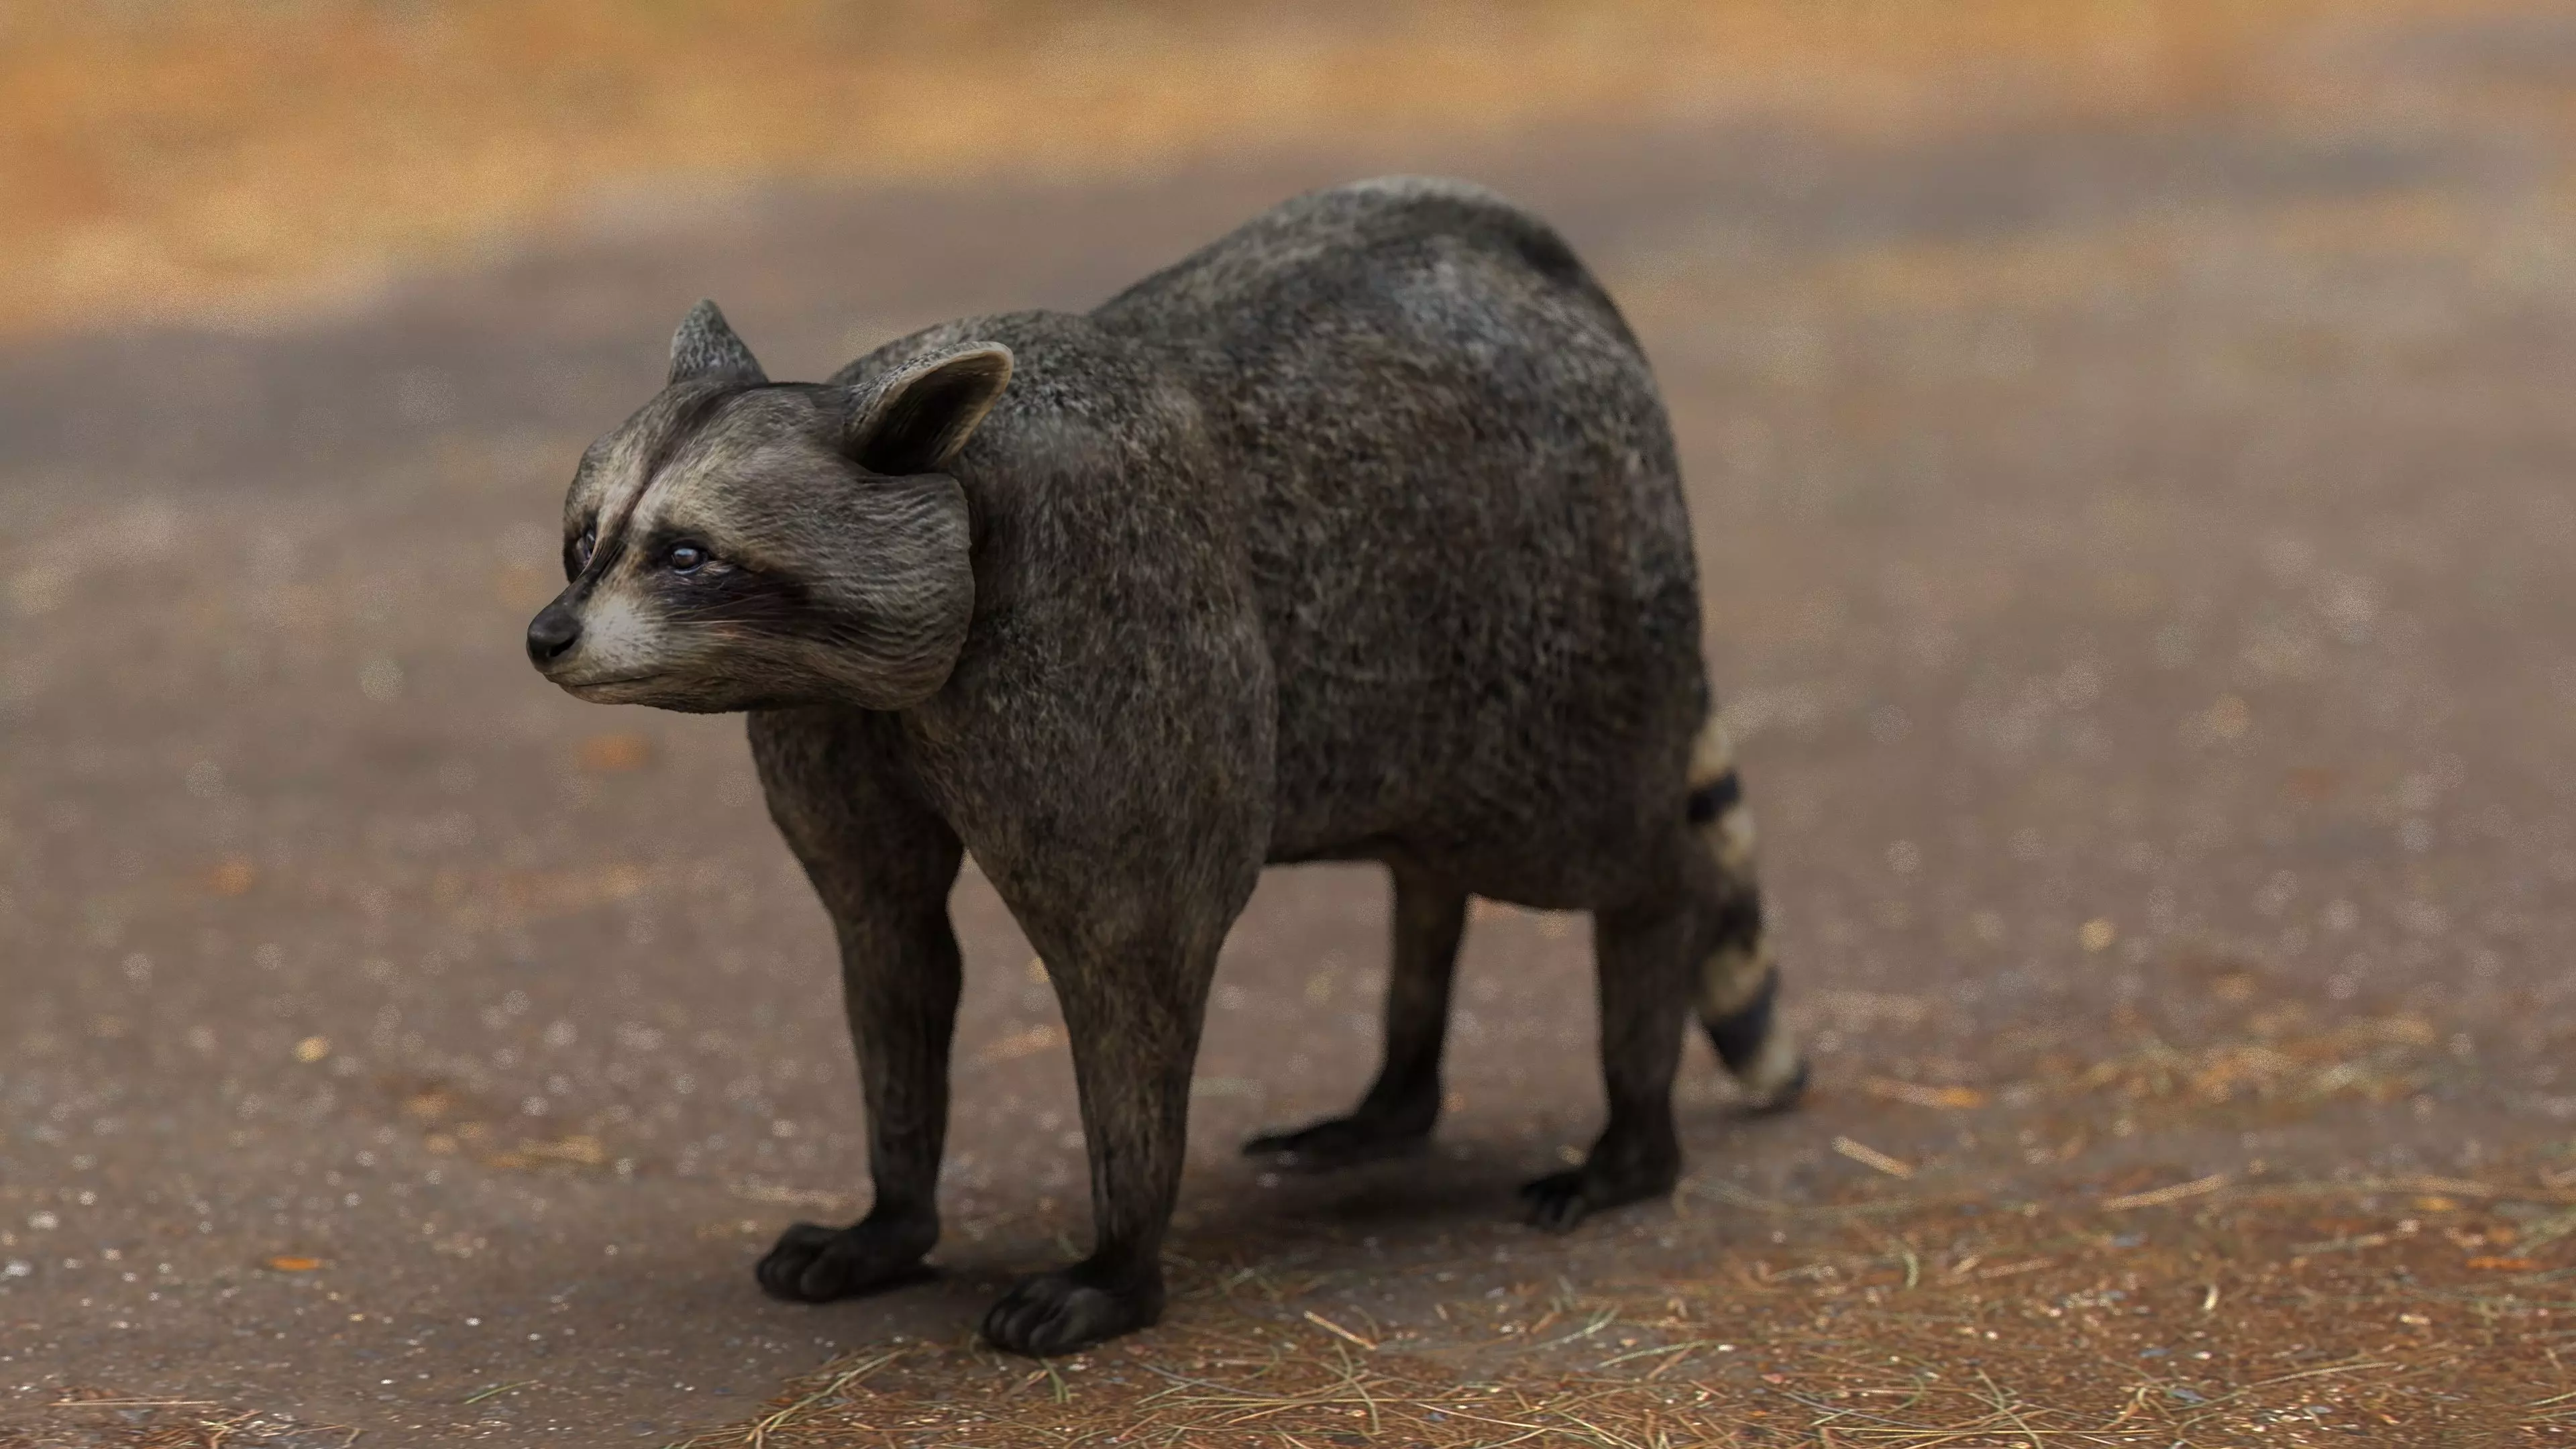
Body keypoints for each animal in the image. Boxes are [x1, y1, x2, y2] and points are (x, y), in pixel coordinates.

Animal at [526, 177, 1805, 1356]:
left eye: (687, 555)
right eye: (585, 539)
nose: (548, 634)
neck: (955, 482)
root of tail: (1549, 267)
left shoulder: (1107, 621)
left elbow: (1134, 960)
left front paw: (1122, 1257)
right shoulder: (831, 715)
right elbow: (889, 945)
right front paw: (893, 1213)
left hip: (1559, 634)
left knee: (1617, 862)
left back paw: (1635, 1128)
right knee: (1426, 860)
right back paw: (1398, 1094)